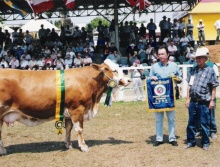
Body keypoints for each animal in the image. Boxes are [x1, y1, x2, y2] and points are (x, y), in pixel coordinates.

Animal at [0, 59, 131, 155]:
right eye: (114, 70)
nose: (129, 80)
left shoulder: (68, 112)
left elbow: (68, 128)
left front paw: (68, 144)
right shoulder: (77, 109)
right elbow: (79, 129)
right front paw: (83, 146)